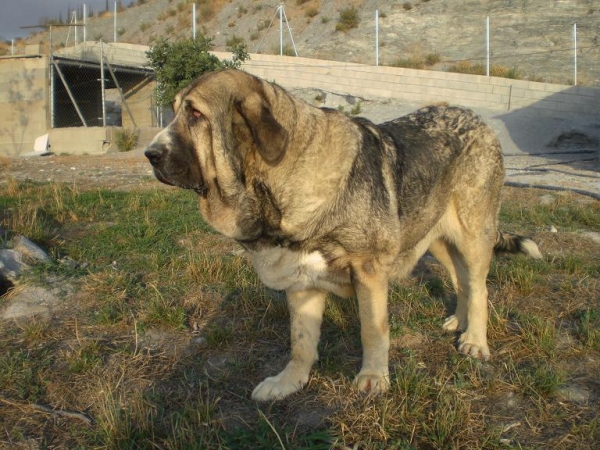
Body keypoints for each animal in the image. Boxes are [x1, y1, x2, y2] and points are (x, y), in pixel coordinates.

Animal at [143, 69, 540, 400]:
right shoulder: (302, 284)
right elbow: (301, 342)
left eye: (196, 114)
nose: (150, 154)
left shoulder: (368, 272)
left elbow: (373, 330)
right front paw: (289, 382)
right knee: (461, 281)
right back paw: (460, 321)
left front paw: (374, 378)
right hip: (434, 236)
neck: (279, 182)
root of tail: (479, 120)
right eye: (174, 111)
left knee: (479, 286)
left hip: (472, 234)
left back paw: (475, 339)